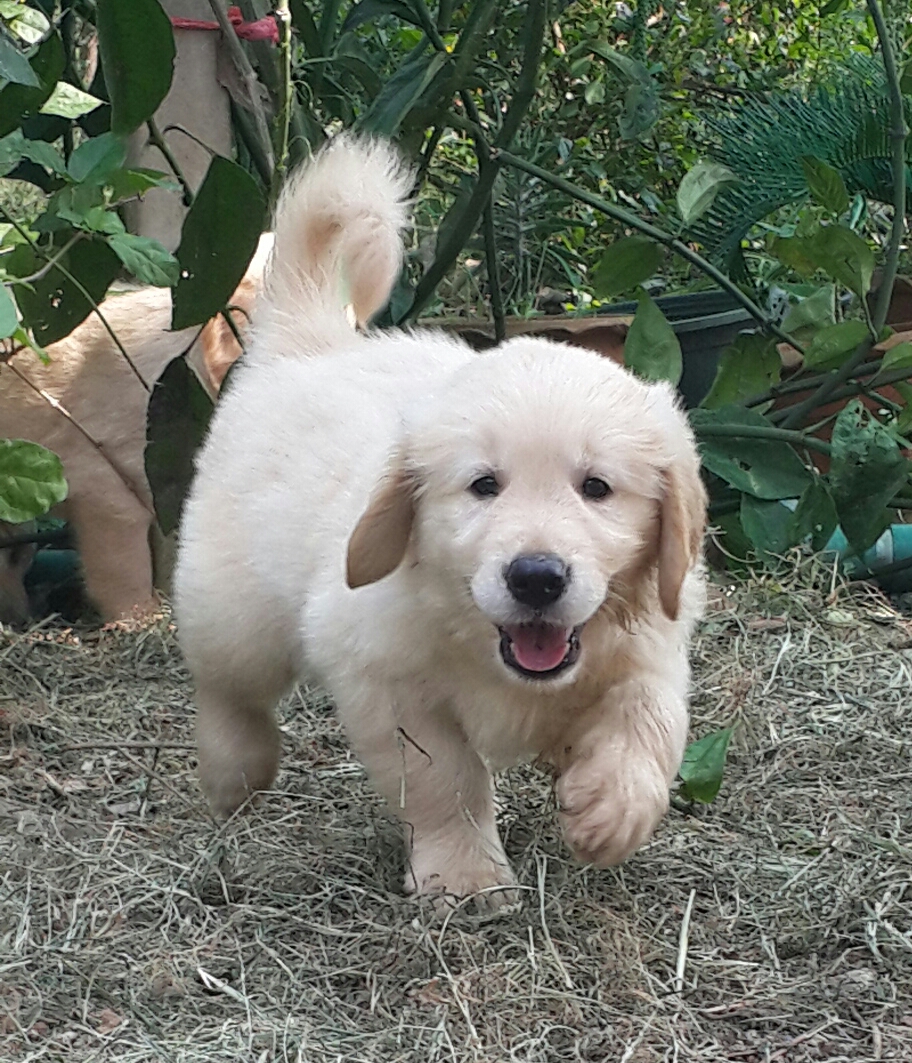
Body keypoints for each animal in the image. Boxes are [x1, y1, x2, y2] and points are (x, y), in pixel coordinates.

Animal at [175, 137, 707, 910]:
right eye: (483, 485)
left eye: (597, 488)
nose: (536, 578)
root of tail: (310, 341)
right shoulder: (383, 677)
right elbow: (445, 776)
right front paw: (465, 877)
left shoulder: (651, 642)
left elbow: (651, 717)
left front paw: (612, 808)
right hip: (234, 604)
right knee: (227, 686)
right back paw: (232, 771)